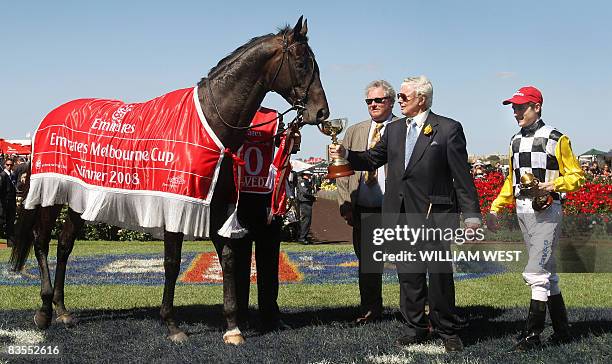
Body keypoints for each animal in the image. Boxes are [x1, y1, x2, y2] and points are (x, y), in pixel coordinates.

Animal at [8, 17, 330, 346]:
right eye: (302, 63)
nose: (322, 111)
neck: (211, 122)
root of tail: (46, 121)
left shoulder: (214, 205)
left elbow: (228, 258)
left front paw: (232, 327)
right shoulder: (178, 204)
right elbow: (172, 263)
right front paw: (172, 324)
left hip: (80, 197)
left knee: (64, 245)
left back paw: (62, 310)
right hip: (51, 193)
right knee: (41, 242)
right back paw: (44, 311)